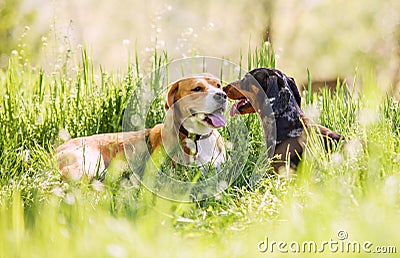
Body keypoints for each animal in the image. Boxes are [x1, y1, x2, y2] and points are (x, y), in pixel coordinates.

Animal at [55, 74, 228, 179]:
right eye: (197, 88)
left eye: (219, 85)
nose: (222, 95)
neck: (200, 138)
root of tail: (55, 151)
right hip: (89, 164)